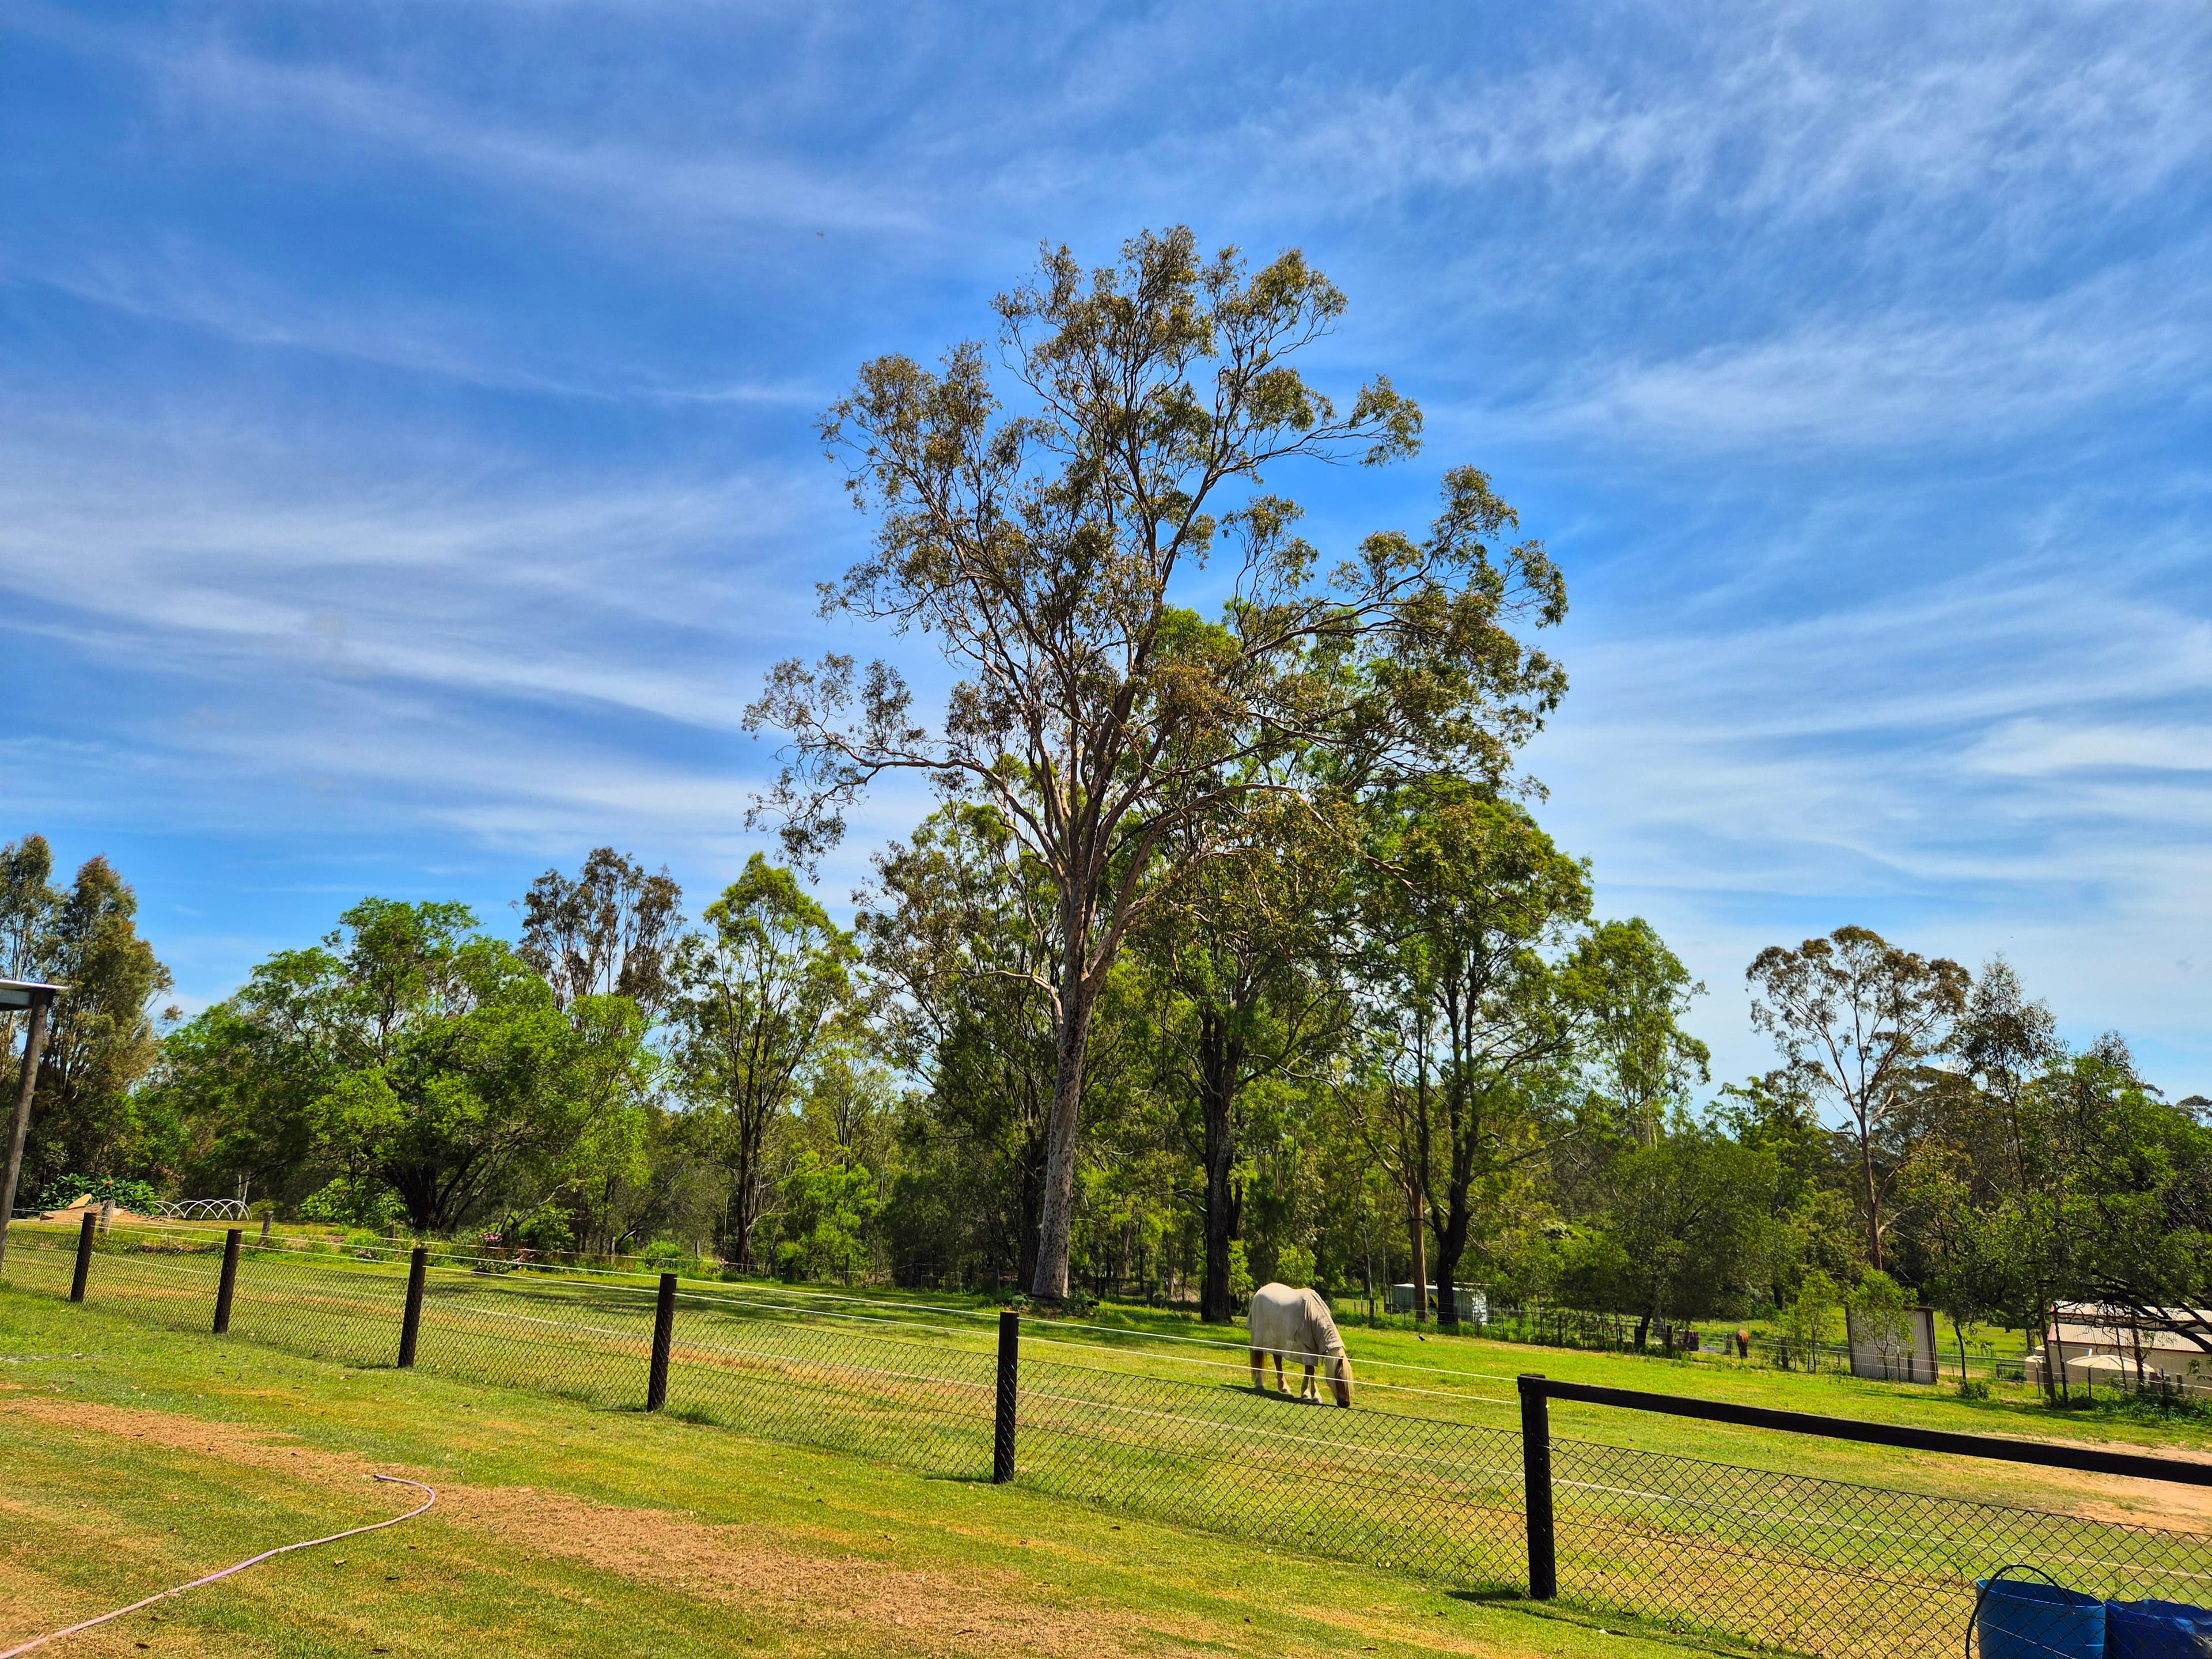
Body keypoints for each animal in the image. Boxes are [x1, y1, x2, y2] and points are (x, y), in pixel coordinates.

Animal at [1248, 1282, 1354, 1406]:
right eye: (1340, 1377)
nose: (1346, 1403)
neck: (1313, 1315)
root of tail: (1259, 1292)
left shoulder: (1313, 1350)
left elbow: (1309, 1371)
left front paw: (1307, 1394)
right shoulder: (1306, 1348)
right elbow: (1310, 1370)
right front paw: (1314, 1396)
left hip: (1278, 1342)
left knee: (1277, 1359)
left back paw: (1284, 1387)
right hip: (1260, 1339)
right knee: (1259, 1357)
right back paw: (1260, 1384)